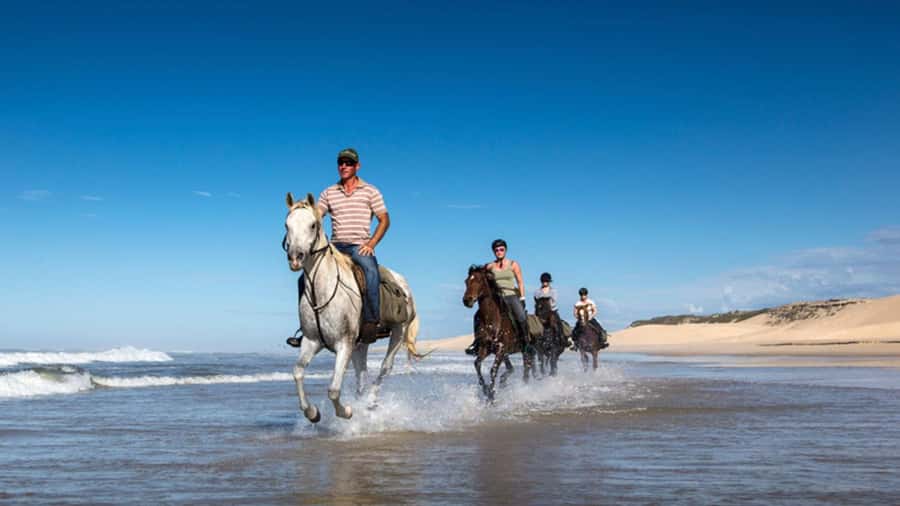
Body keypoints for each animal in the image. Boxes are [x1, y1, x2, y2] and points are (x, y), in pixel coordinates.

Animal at [283, 192, 423, 423]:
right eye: (287, 225)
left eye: (313, 225)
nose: (295, 258)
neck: (323, 289)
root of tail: (403, 284)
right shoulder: (312, 342)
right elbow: (297, 372)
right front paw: (312, 413)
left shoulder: (344, 344)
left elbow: (333, 389)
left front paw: (347, 411)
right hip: (362, 343)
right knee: (362, 375)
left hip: (398, 332)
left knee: (385, 368)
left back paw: (370, 402)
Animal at [462, 265, 536, 402]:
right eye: (466, 281)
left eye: (479, 280)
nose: (467, 300)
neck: (491, 320)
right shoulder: (485, 349)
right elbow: (477, 364)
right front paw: (486, 390)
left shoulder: (501, 349)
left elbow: (493, 370)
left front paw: (491, 396)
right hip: (506, 353)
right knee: (512, 368)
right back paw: (503, 381)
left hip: (523, 349)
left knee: (526, 367)